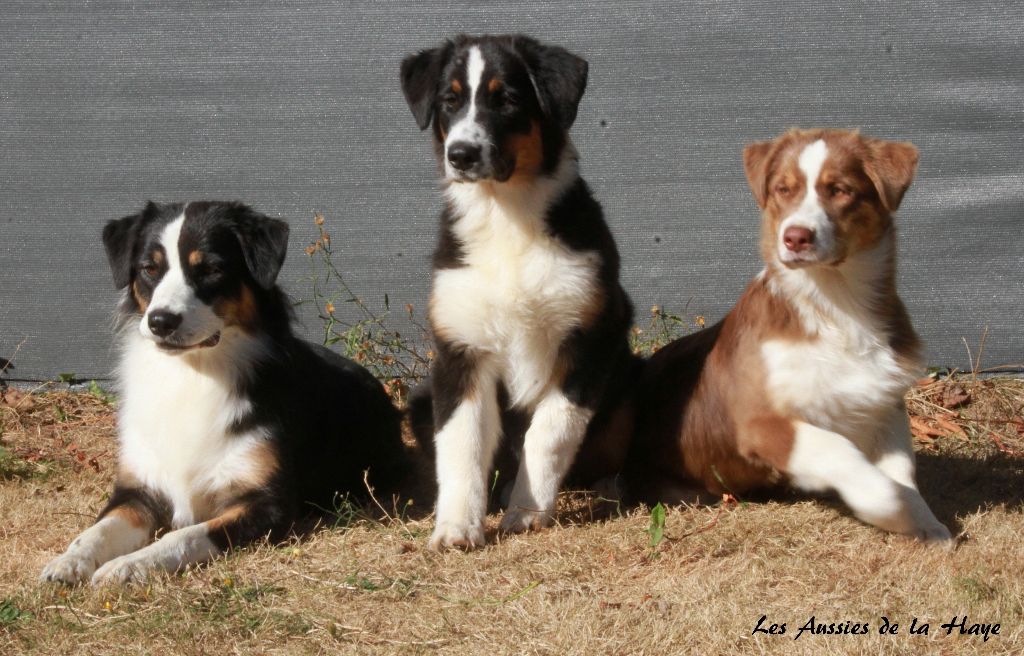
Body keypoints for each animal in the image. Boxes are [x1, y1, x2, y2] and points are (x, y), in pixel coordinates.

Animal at [39, 199, 407, 581]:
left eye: (211, 269)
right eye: (149, 269)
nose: (160, 321)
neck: (194, 373)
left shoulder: (269, 504)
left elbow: (183, 536)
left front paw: (128, 566)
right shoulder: (136, 489)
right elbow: (97, 530)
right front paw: (69, 561)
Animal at [401, 34, 634, 548]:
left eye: (506, 100)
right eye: (449, 101)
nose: (461, 154)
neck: (504, 213)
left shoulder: (592, 337)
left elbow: (550, 430)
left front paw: (527, 512)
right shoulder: (461, 351)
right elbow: (461, 446)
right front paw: (456, 527)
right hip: (418, 401)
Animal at [622, 127, 950, 540]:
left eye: (840, 190)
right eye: (783, 189)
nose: (795, 237)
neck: (836, 306)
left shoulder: (881, 401)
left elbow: (902, 471)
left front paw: (924, 524)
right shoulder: (757, 421)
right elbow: (837, 449)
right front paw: (886, 504)